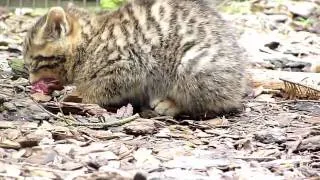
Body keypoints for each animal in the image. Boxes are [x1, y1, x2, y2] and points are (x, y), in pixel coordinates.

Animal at [23, 0, 248, 118]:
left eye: (34, 63)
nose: (31, 82)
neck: (90, 43)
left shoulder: (127, 64)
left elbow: (101, 88)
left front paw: (77, 95)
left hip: (192, 67)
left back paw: (170, 104)